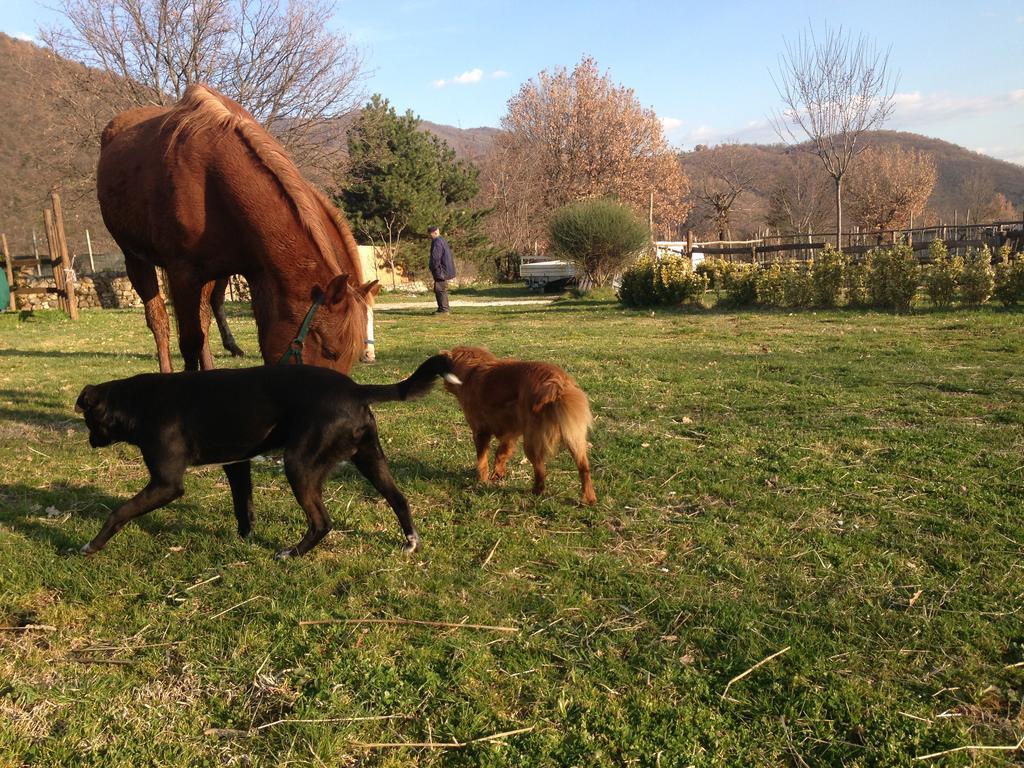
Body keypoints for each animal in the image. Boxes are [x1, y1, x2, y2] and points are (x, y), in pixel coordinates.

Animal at [77, 354, 462, 561]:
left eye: (88, 420)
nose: (91, 442)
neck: (138, 402)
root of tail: (354, 389)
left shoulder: (166, 484)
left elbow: (120, 512)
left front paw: (92, 545)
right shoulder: (237, 465)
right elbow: (242, 506)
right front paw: (244, 538)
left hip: (300, 465)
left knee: (322, 521)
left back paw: (293, 553)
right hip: (370, 459)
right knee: (399, 499)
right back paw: (410, 541)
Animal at [95, 83, 376, 372]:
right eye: (330, 351)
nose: (368, 355)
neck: (211, 181)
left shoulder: (256, 275)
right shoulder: (183, 274)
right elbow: (189, 343)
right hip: (136, 260)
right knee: (159, 322)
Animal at [442, 348, 598, 505]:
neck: (473, 369)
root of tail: (558, 384)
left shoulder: (480, 431)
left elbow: (482, 460)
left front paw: (483, 480)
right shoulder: (511, 432)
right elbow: (501, 453)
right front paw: (498, 474)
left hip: (532, 441)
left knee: (540, 470)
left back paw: (536, 491)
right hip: (573, 438)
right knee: (583, 467)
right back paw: (589, 498)